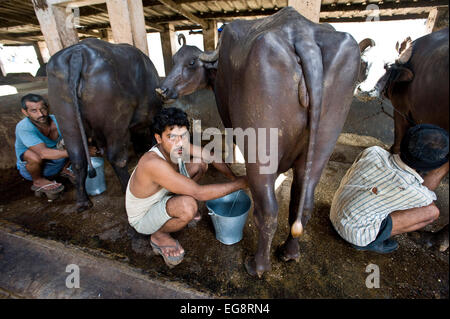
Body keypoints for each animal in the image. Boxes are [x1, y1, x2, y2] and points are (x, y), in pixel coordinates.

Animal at [46, 38, 163, 212]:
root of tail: (78, 53)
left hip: (67, 121)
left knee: (77, 161)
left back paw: (83, 202)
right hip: (116, 123)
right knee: (116, 158)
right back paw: (125, 188)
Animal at [156, 6, 360, 278]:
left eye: (190, 63)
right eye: (174, 61)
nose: (162, 90)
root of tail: (303, 36)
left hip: (261, 148)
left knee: (268, 209)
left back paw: (258, 266)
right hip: (323, 143)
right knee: (303, 201)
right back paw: (289, 252)